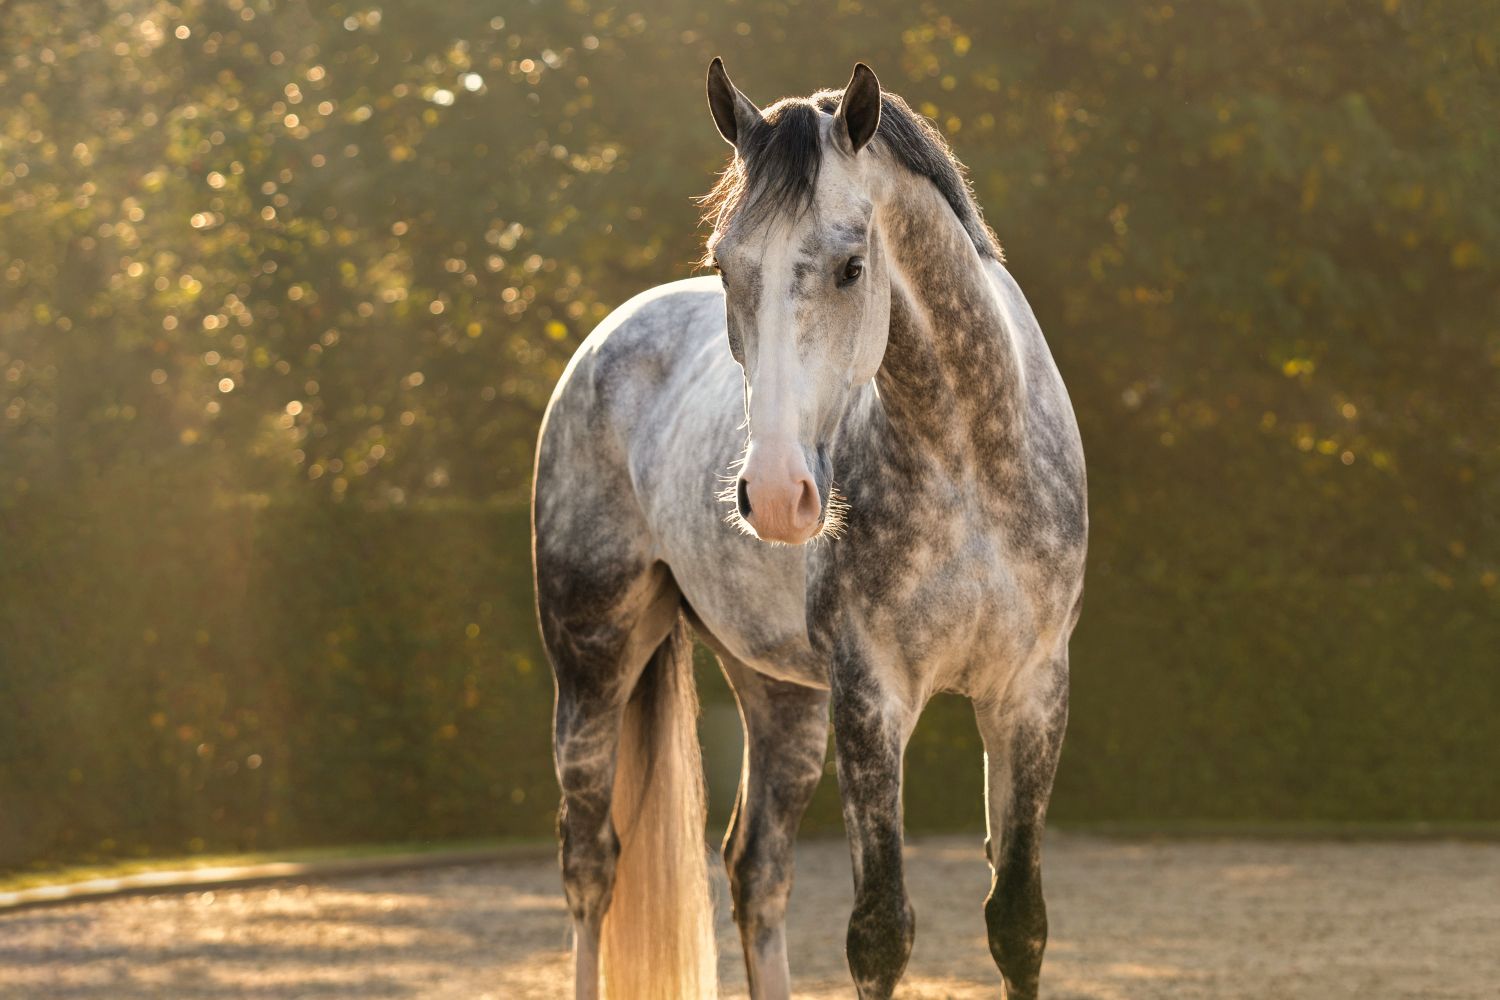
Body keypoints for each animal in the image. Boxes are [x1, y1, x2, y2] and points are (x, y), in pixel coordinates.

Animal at [532, 58, 1087, 1000]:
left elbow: (1018, 921)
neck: (971, 462)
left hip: (780, 696)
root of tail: (602, 343)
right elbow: (879, 933)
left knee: (755, 870)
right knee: (591, 868)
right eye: (725, 266)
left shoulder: (1030, 693)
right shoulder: (871, 698)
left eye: (851, 266)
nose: (776, 494)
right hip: (593, 665)